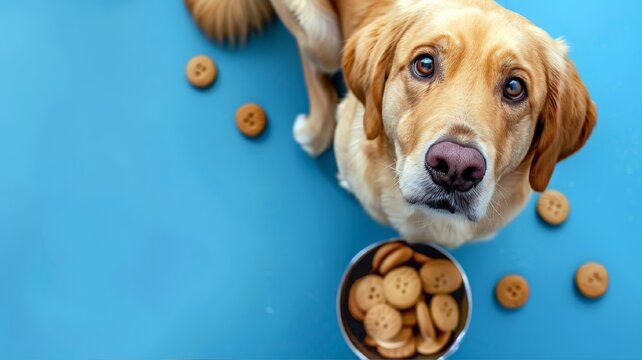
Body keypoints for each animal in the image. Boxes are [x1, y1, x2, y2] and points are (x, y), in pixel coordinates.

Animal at [185, 0, 596, 248]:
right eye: (424, 64)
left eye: (514, 88)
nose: (455, 167)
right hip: (318, 31)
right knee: (310, 61)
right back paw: (314, 127)